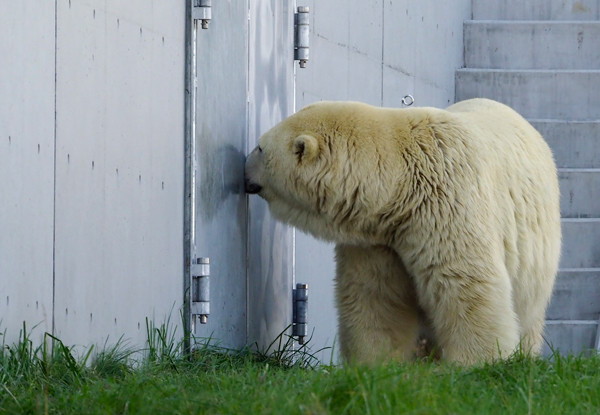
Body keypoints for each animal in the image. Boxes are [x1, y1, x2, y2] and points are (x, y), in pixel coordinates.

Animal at [244, 99, 564, 366]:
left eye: (259, 148)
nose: (242, 169)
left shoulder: (446, 199)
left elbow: (462, 280)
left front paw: (475, 362)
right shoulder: (378, 237)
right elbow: (376, 294)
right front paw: (375, 365)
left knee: (528, 310)